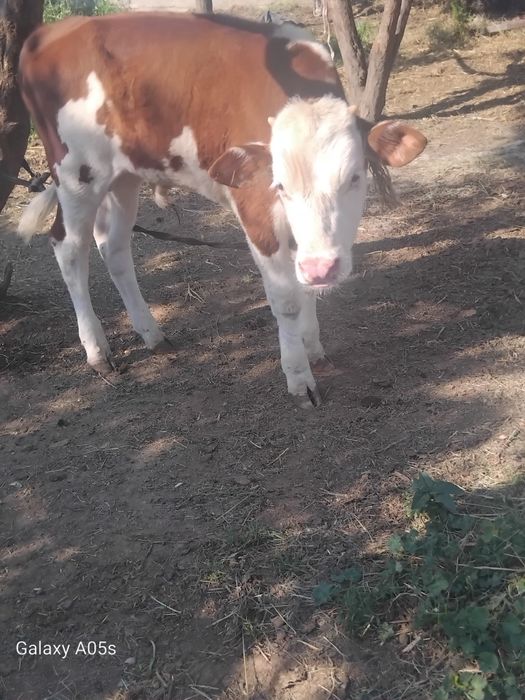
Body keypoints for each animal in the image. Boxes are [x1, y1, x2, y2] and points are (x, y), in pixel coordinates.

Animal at [17, 12, 426, 407]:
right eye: (280, 185)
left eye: (354, 177)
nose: (322, 268)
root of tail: (51, 32)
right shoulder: (256, 211)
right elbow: (286, 299)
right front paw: (299, 377)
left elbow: (304, 288)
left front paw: (313, 346)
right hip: (77, 173)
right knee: (69, 249)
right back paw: (97, 350)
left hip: (123, 175)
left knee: (113, 247)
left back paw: (151, 333)